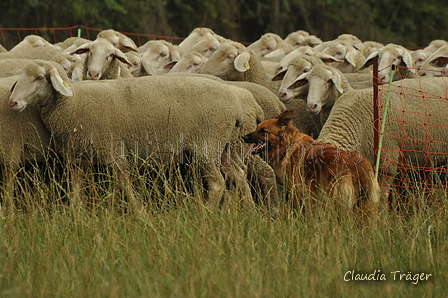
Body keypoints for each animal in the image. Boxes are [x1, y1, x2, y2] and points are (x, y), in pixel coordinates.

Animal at [7, 60, 260, 205]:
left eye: (39, 77)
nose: (12, 103)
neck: (72, 102)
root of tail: (236, 105)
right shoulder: (75, 157)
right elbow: (76, 189)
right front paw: (75, 217)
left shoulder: (112, 149)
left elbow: (124, 184)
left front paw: (140, 214)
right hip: (223, 145)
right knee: (239, 174)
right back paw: (248, 213)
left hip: (206, 143)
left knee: (217, 183)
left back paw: (205, 213)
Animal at [243, 109, 380, 217]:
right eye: (257, 128)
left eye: (263, 131)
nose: (244, 137)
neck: (288, 145)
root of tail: (359, 166)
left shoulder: (299, 194)